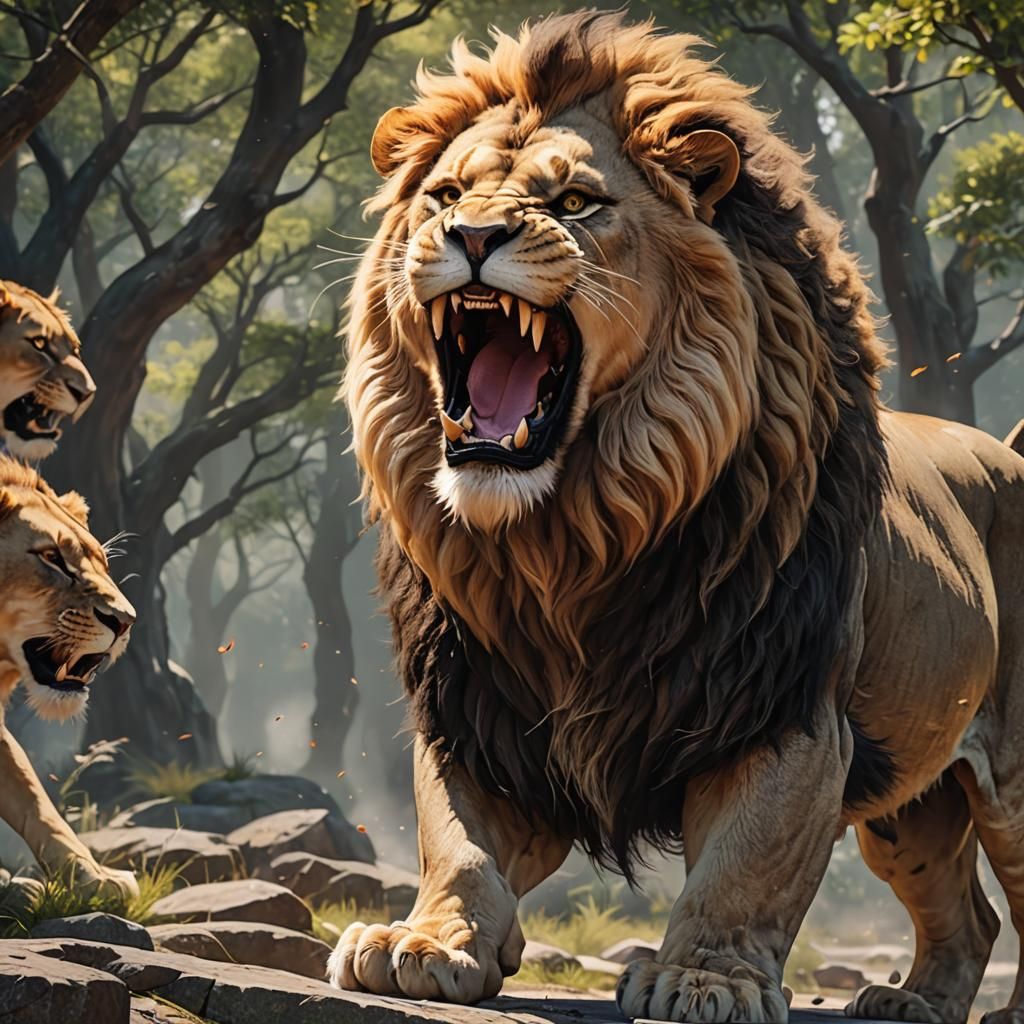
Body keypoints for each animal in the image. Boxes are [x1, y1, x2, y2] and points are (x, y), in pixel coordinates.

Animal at [328, 13, 1024, 1024]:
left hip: (1009, 778)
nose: (472, 234)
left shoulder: (783, 710)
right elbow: (456, 842)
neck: (569, 543)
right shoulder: (480, 709)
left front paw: (707, 977)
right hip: (910, 805)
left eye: (577, 202)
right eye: (445, 196)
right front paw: (424, 942)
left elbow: (745, 865)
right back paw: (912, 1002)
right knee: (968, 913)